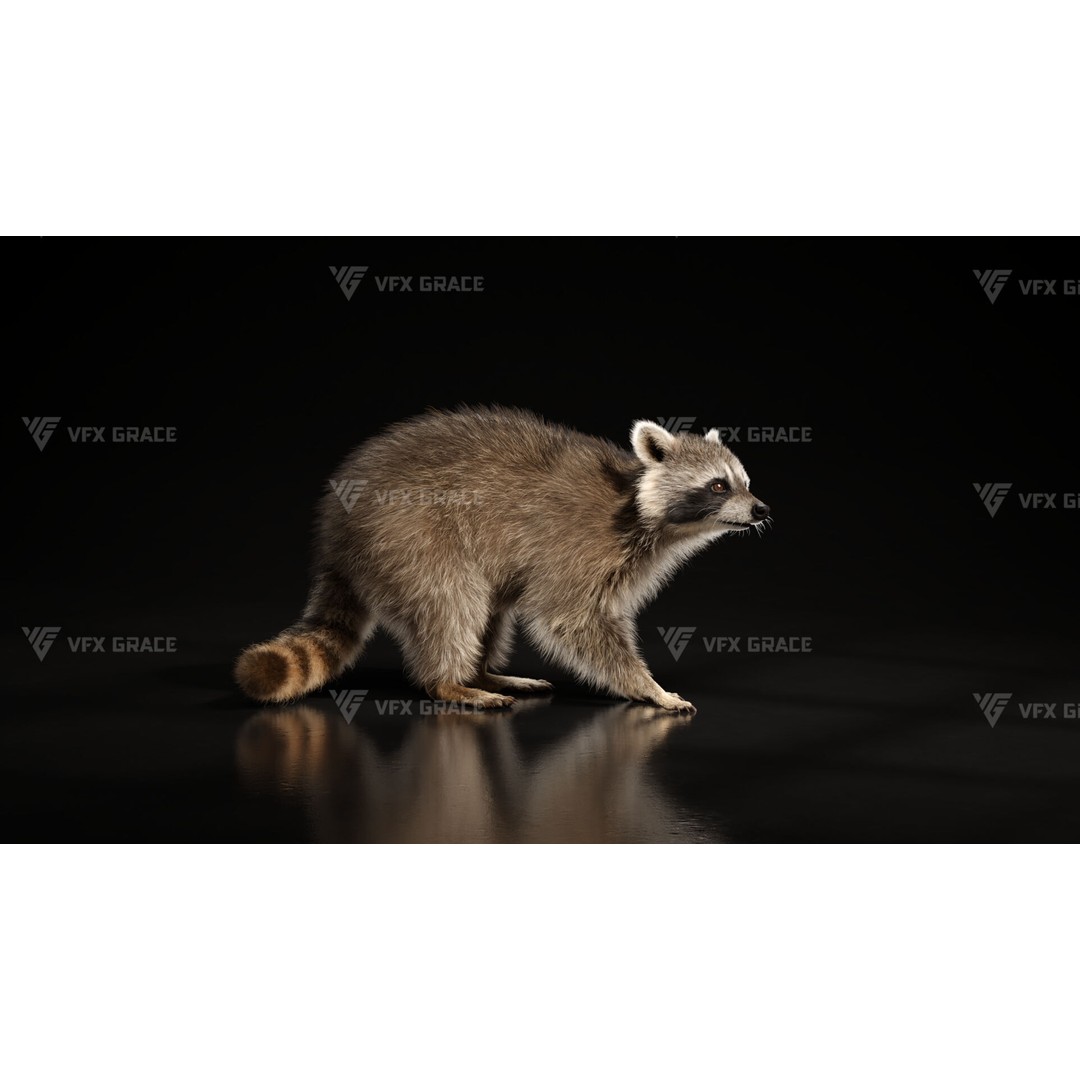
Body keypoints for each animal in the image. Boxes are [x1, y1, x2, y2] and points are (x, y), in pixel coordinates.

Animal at [234, 406, 770, 713]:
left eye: (744, 483)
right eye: (718, 486)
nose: (762, 509)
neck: (640, 505)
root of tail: (334, 534)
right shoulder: (579, 548)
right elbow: (570, 619)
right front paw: (647, 687)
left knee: (490, 607)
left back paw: (480, 671)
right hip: (408, 535)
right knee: (453, 601)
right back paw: (451, 682)